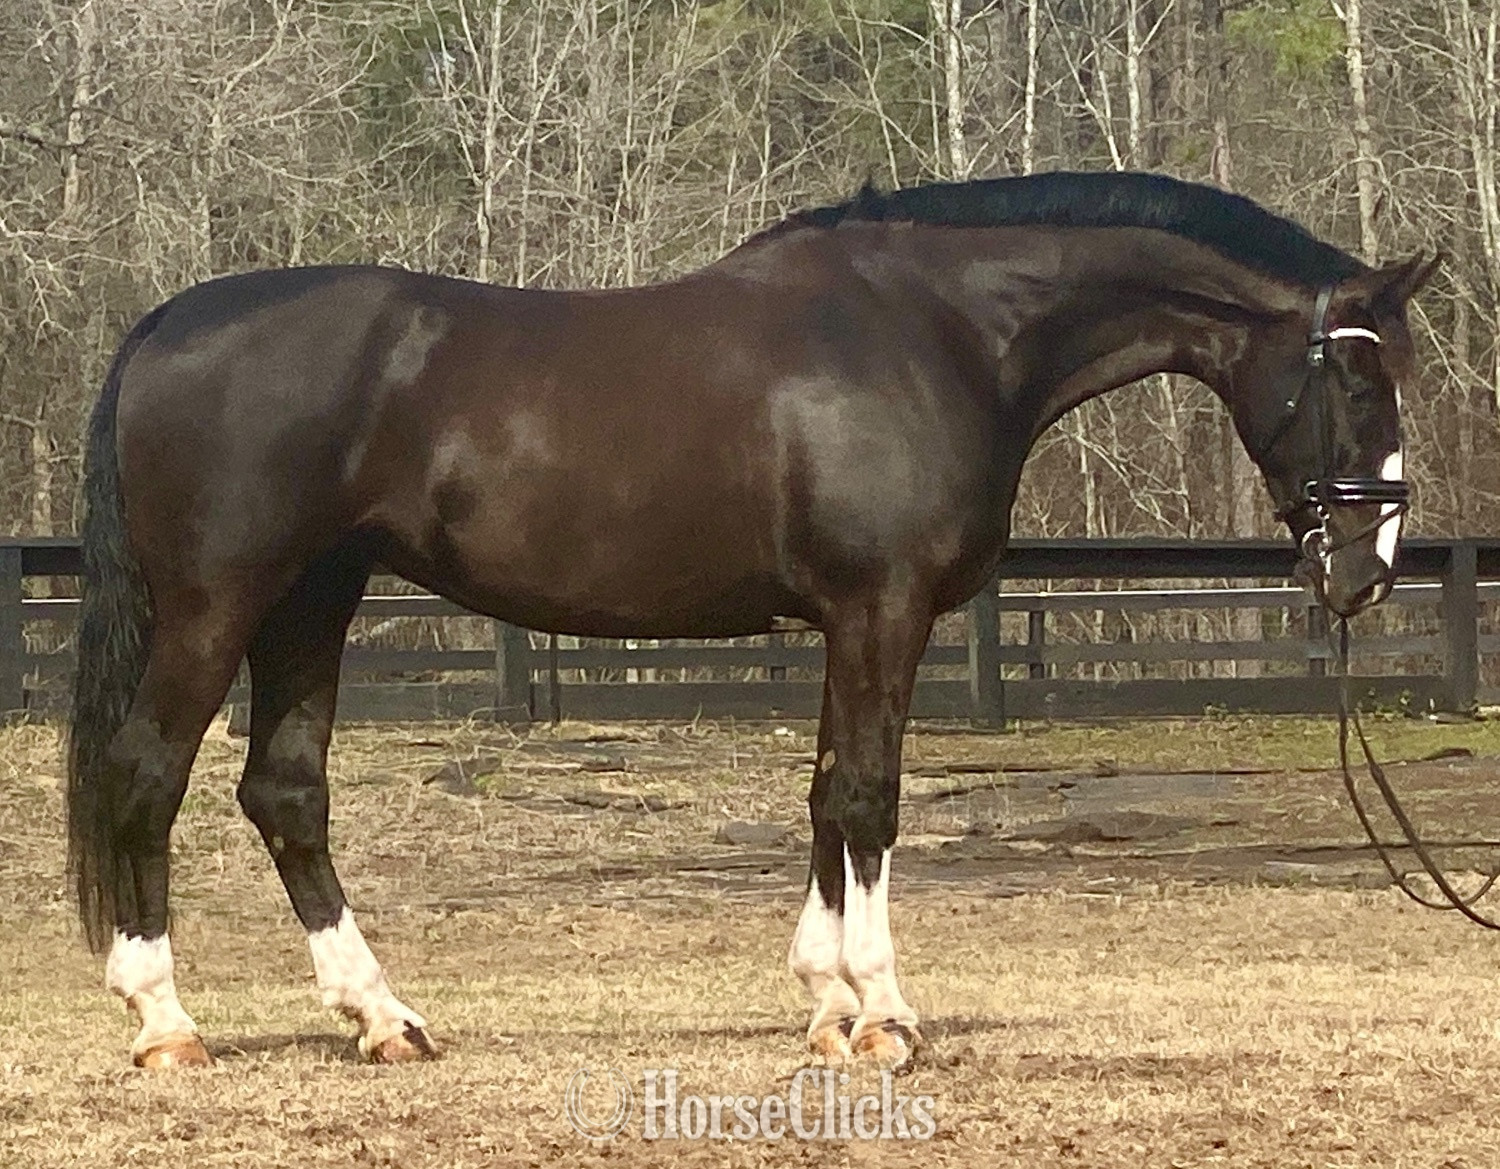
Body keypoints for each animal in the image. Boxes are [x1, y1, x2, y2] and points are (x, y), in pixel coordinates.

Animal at [66, 170, 1436, 1070]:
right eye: (1361, 378)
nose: (1366, 570)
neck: (937, 334)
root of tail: (164, 324)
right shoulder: (883, 609)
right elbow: (871, 797)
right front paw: (885, 1013)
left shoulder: (847, 619)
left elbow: (828, 791)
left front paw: (827, 1004)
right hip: (221, 604)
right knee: (146, 774)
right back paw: (164, 1022)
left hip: (315, 598)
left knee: (286, 791)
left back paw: (382, 1016)